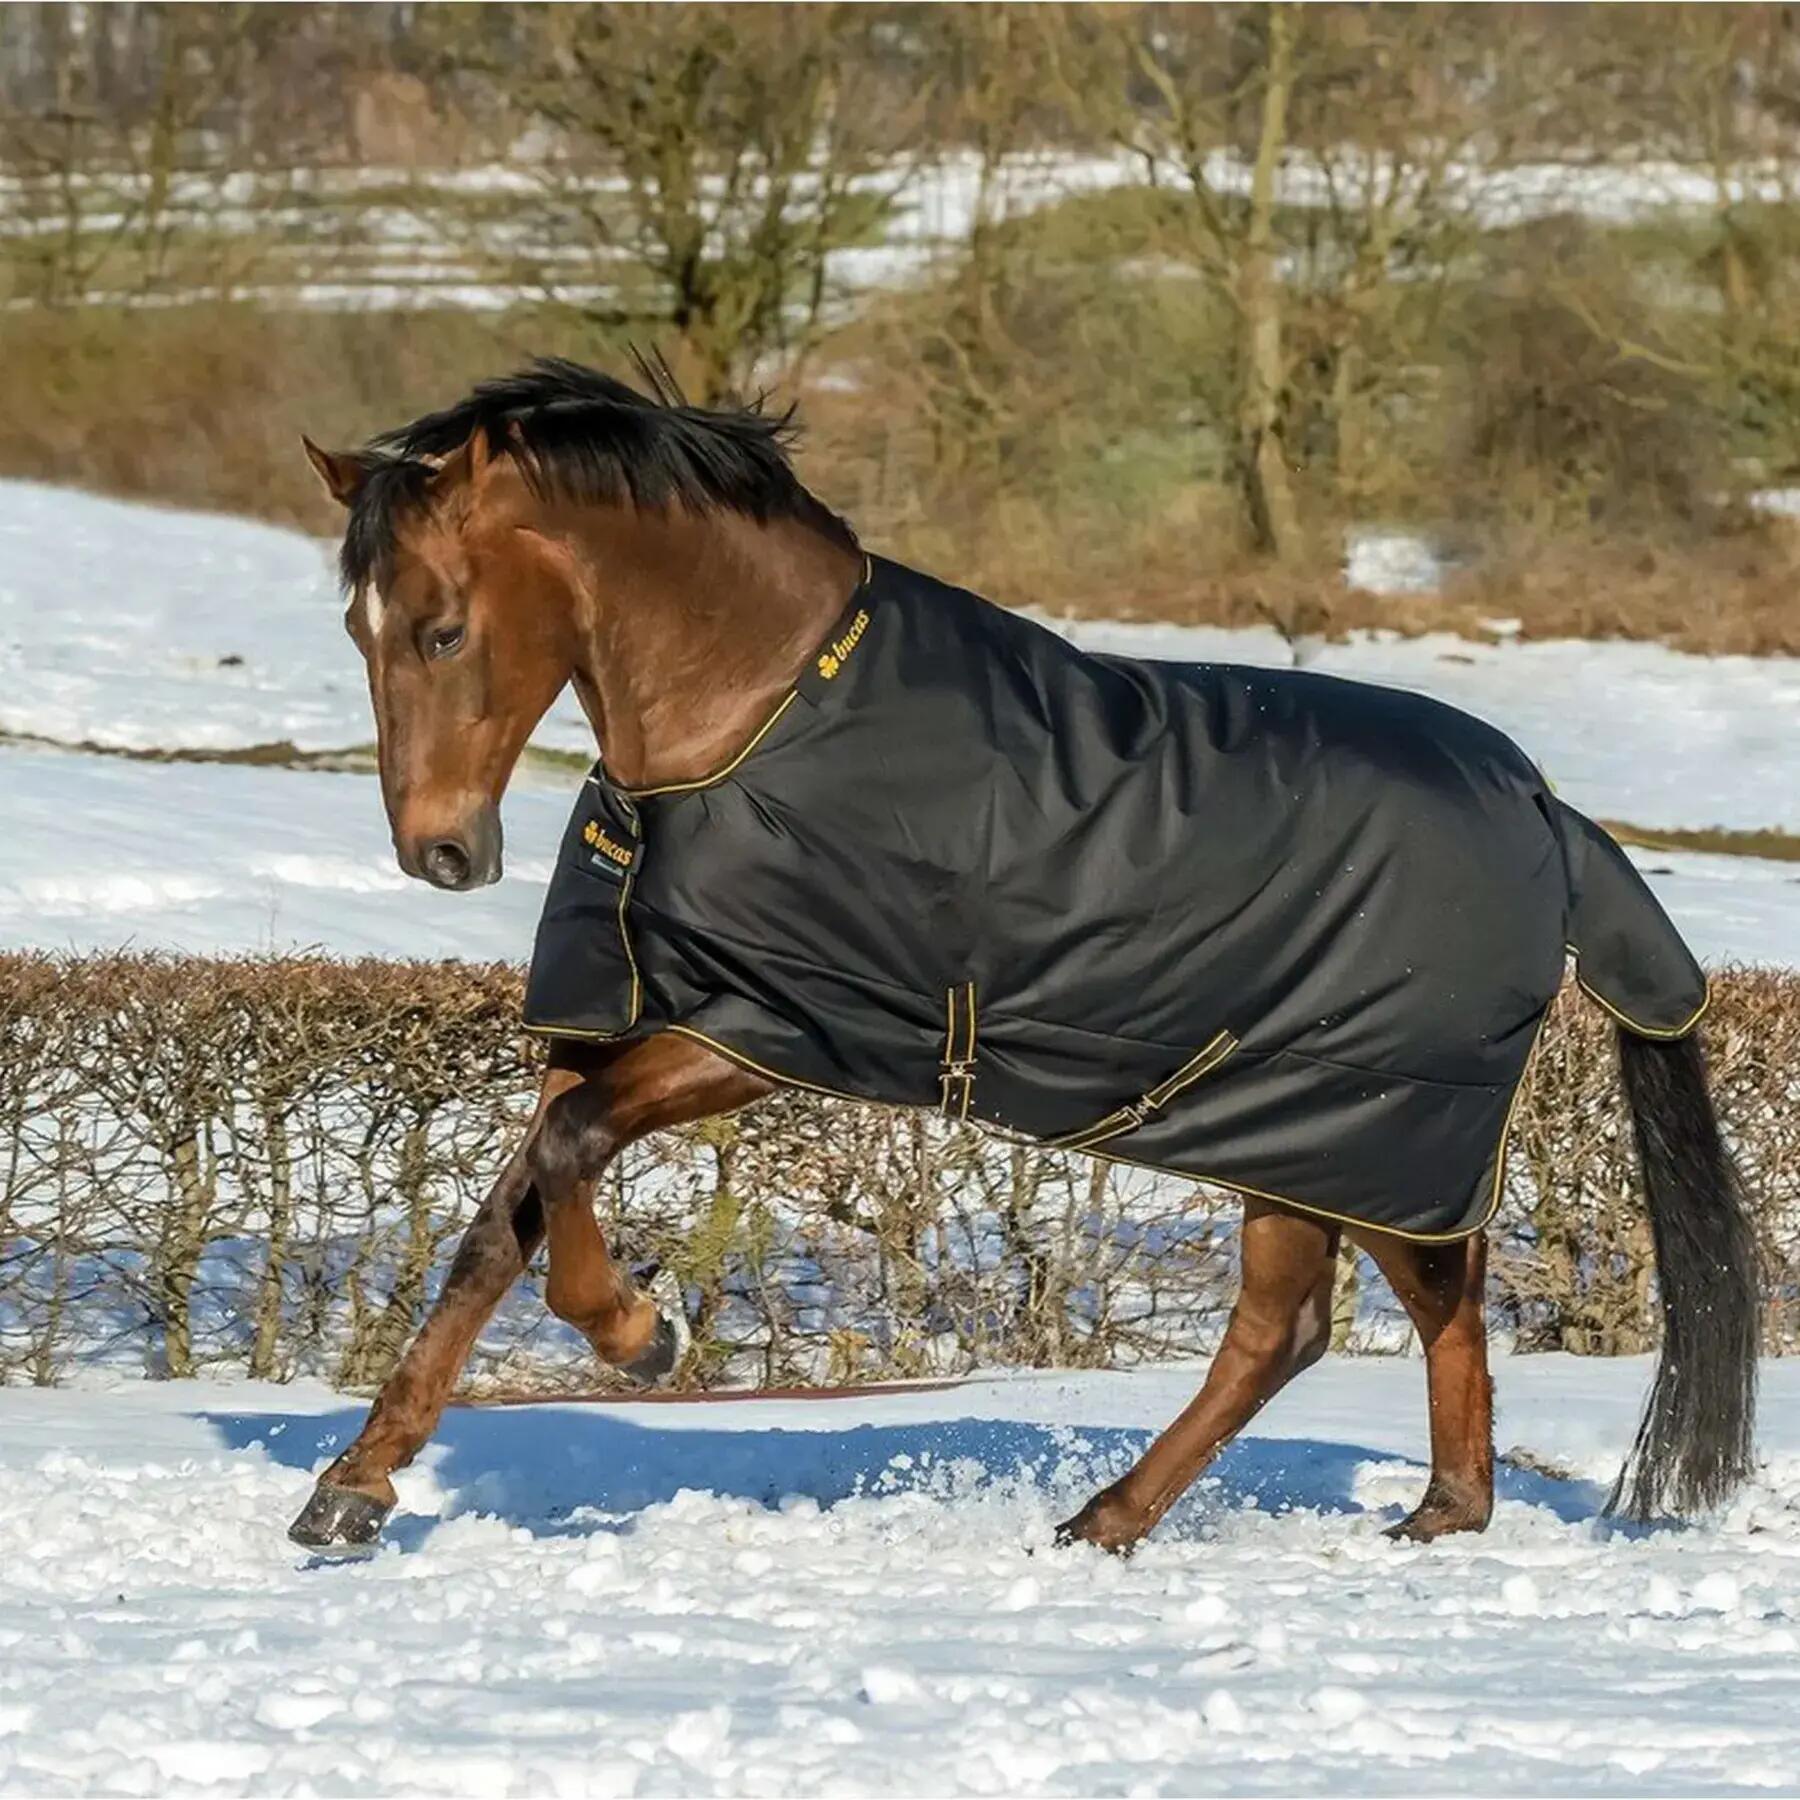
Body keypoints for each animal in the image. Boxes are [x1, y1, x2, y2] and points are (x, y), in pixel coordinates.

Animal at [288, 357, 1759, 1556]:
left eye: (441, 628)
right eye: (358, 629)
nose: (441, 852)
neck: (758, 714)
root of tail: (1550, 815)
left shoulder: (767, 1034)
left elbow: (570, 1150)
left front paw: (646, 1339)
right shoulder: (623, 1020)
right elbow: (504, 1217)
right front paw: (352, 1492)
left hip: (1358, 1128)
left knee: (1325, 1321)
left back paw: (1146, 1518)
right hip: (1319, 1140)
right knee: (1386, 1310)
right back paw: (1398, 1513)